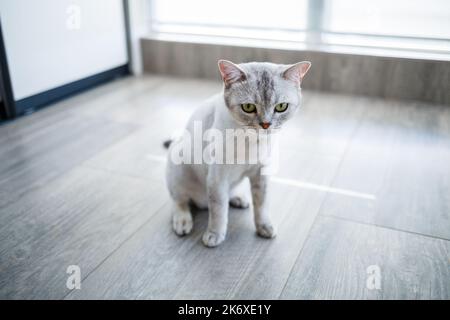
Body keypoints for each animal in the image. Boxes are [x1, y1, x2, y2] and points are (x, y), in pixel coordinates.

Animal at [164, 60, 310, 248]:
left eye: (281, 107)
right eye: (248, 107)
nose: (265, 125)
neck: (251, 142)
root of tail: (201, 202)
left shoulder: (261, 174)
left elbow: (261, 204)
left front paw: (264, 227)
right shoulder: (217, 178)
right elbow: (218, 210)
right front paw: (214, 234)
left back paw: (238, 199)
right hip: (178, 168)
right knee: (180, 201)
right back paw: (182, 222)